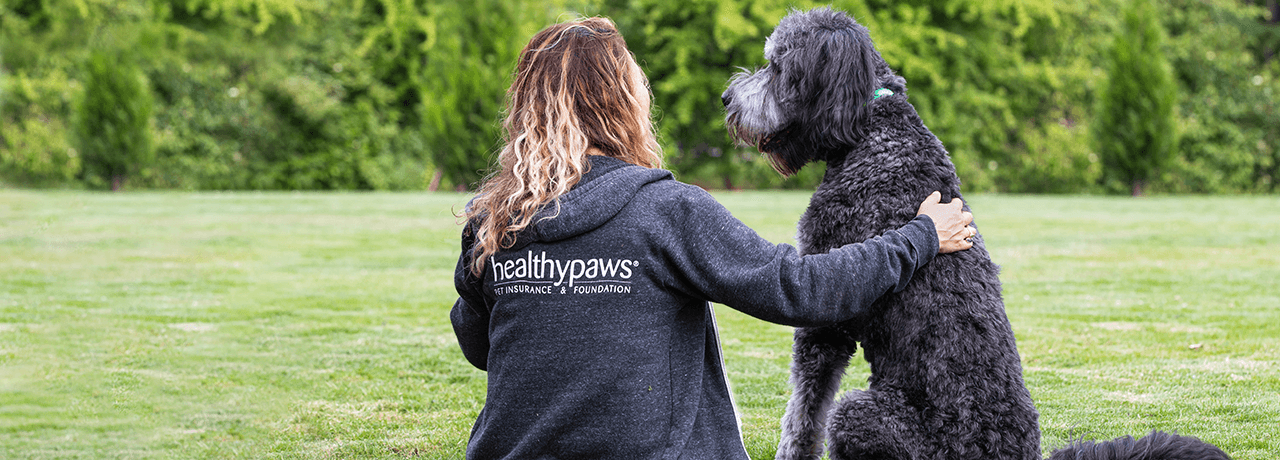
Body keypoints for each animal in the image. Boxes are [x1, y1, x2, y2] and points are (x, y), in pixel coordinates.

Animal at [721, 7, 1228, 460]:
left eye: (777, 65)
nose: (727, 97)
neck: (874, 133)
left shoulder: (827, 323)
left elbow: (803, 417)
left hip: (861, 414)